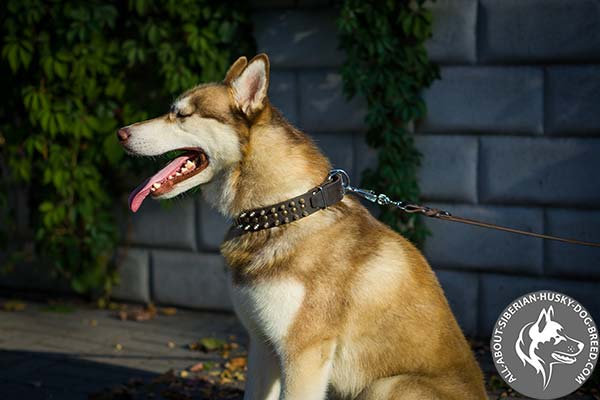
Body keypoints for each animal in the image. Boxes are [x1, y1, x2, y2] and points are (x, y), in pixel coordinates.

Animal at [118, 54, 488, 400]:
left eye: (181, 115)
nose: (121, 133)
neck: (281, 211)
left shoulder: (303, 355)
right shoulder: (262, 345)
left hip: (388, 386)